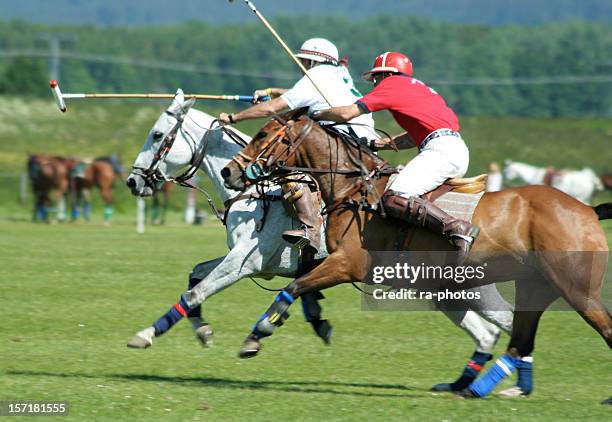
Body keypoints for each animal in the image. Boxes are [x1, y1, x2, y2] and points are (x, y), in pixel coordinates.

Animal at [124, 90, 520, 394]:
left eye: (157, 135)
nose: (132, 181)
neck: (256, 193)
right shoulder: (249, 262)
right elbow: (196, 274)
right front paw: (205, 331)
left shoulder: (246, 262)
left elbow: (196, 291)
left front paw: (145, 334)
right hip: (448, 292)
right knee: (491, 331)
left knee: (507, 323)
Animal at [221, 110, 612, 398]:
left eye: (263, 134)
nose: (229, 171)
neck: (352, 189)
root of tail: (589, 211)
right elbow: (301, 283)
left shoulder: (347, 264)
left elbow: (294, 287)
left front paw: (255, 337)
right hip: (532, 285)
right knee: (520, 337)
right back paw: (479, 387)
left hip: (577, 288)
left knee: (595, 326)